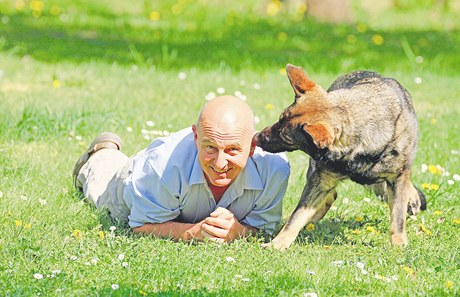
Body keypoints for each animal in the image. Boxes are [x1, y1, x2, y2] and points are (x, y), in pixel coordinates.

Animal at [253, 65, 426, 250]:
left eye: (286, 137)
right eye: (279, 119)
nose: (256, 137)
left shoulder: (398, 177)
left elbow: (398, 217)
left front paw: (399, 243)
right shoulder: (321, 180)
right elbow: (297, 216)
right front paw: (278, 243)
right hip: (316, 172)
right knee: (330, 196)